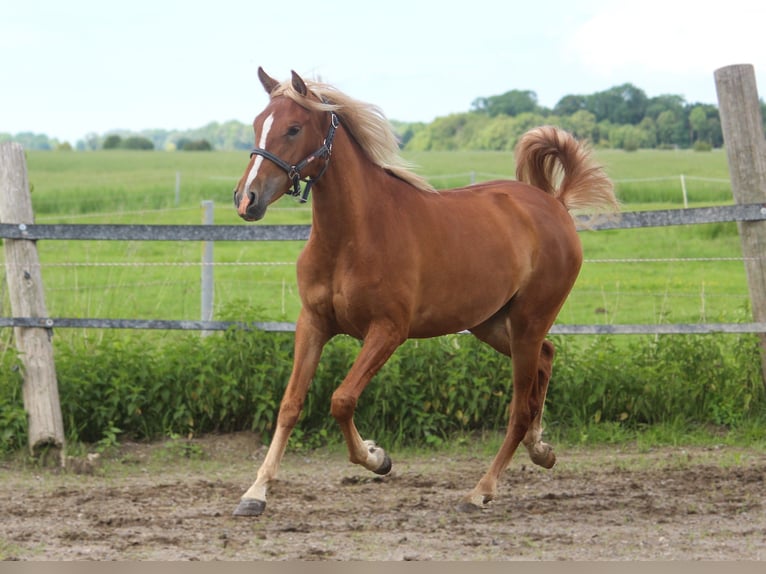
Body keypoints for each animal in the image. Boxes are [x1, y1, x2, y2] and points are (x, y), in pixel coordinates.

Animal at [232, 67, 616, 516]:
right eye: (258, 123)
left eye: (293, 128)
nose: (246, 199)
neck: (353, 236)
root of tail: (555, 204)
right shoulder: (313, 324)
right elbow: (290, 405)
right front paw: (255, 493)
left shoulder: (388, 331)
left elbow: (341, 399)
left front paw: (377, 458)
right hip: (491, 324)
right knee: (548, 357)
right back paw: (542, 450)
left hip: (527, 323)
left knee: (519, 409)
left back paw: (480, 491)